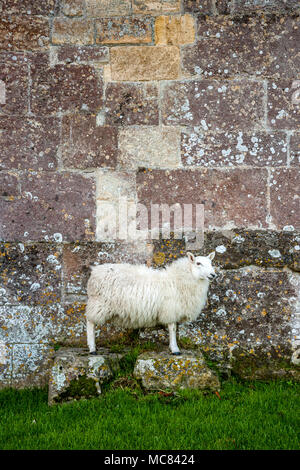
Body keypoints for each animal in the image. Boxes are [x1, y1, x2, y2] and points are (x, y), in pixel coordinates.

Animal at [85, 252, 217, 354]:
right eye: (198, 263)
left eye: (211, 263)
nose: (213, 275)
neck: (180, 279)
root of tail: (94, 271)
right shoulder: (170, 309)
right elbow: (173, 328)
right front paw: (175, 349)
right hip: (99, 304)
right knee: (90, 322)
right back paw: (92, 348)